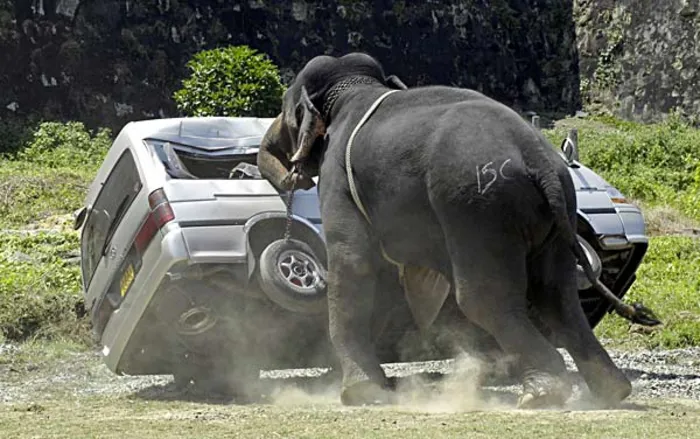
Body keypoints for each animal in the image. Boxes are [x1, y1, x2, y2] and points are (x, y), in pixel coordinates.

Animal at [257, 52, 659, 408]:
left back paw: (542, 394)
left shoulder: (338, 177)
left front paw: (361, 395)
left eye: (286, 109)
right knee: (556, 293)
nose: (287, 172)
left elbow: (353, 263)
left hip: (477, 208)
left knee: (485, 297)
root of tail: (541, 162)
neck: (356, 88)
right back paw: (612, 391)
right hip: (556, 216)